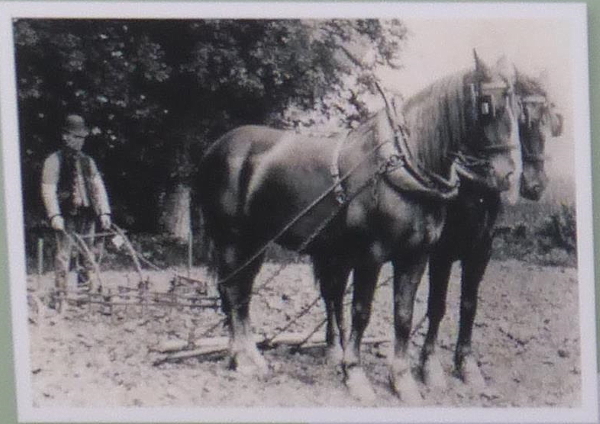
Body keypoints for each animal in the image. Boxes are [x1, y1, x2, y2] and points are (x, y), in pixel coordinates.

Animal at [197, 51, 520, 402]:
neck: (402, 166)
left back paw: (248, 357)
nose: (506, 175)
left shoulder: (416, 258)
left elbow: (404, 315)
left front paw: (403, 381)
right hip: (233, 240)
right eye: (486, 104)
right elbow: (361, 312)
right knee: (232, 292)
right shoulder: (371, 256)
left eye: (514, 104)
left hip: (255, 244)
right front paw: (355, 374)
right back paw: (244, 361)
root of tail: (216, 147)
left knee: (240, 294)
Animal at [414, 68, 564, 390]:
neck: (472, 185)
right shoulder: (442, 254)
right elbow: (437, 305)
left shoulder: (481, 251)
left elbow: (469, 304)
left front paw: (466, 364)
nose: (536, 186)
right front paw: (429, 365)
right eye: (522, 118)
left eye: (547, 119)